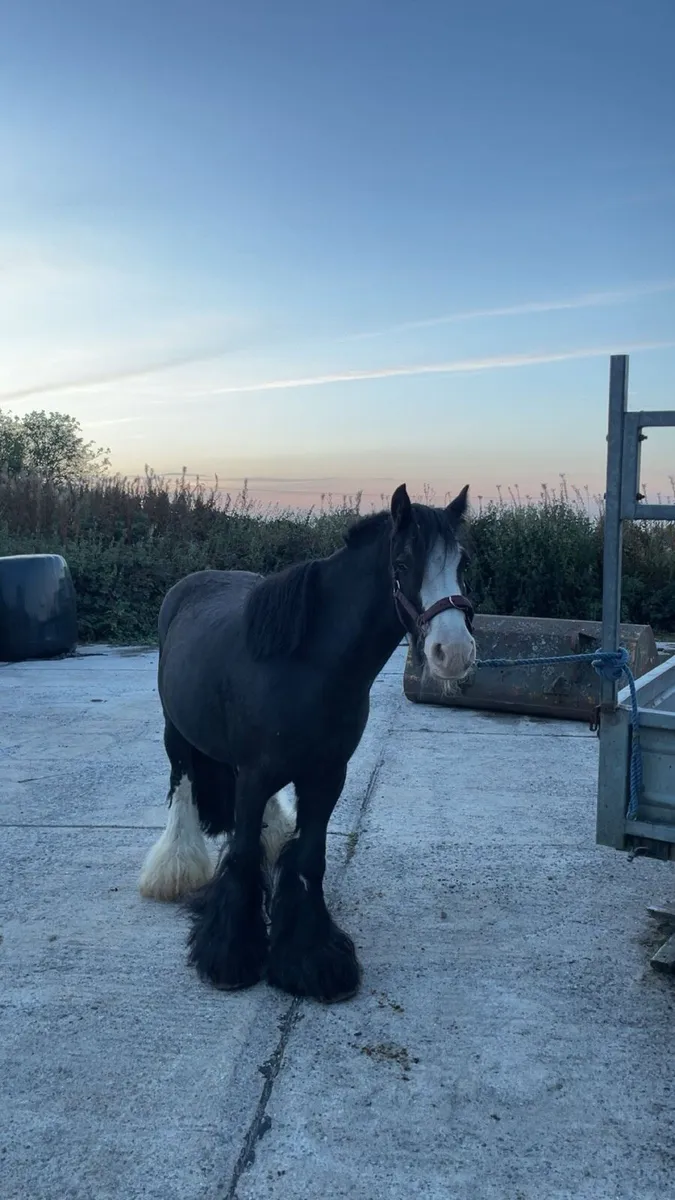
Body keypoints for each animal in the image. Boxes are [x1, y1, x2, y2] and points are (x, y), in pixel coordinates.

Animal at [139, 482, 475, 1003]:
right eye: (402, 564)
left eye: (461, 562)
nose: (453, 652)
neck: (310, 663)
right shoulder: (255, 774)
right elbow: (242, 856)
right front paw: (230, 957)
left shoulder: (326, 774)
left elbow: (308, 858)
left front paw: (312, 961)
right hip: (176, 733)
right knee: (183, 787)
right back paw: (173, 870)